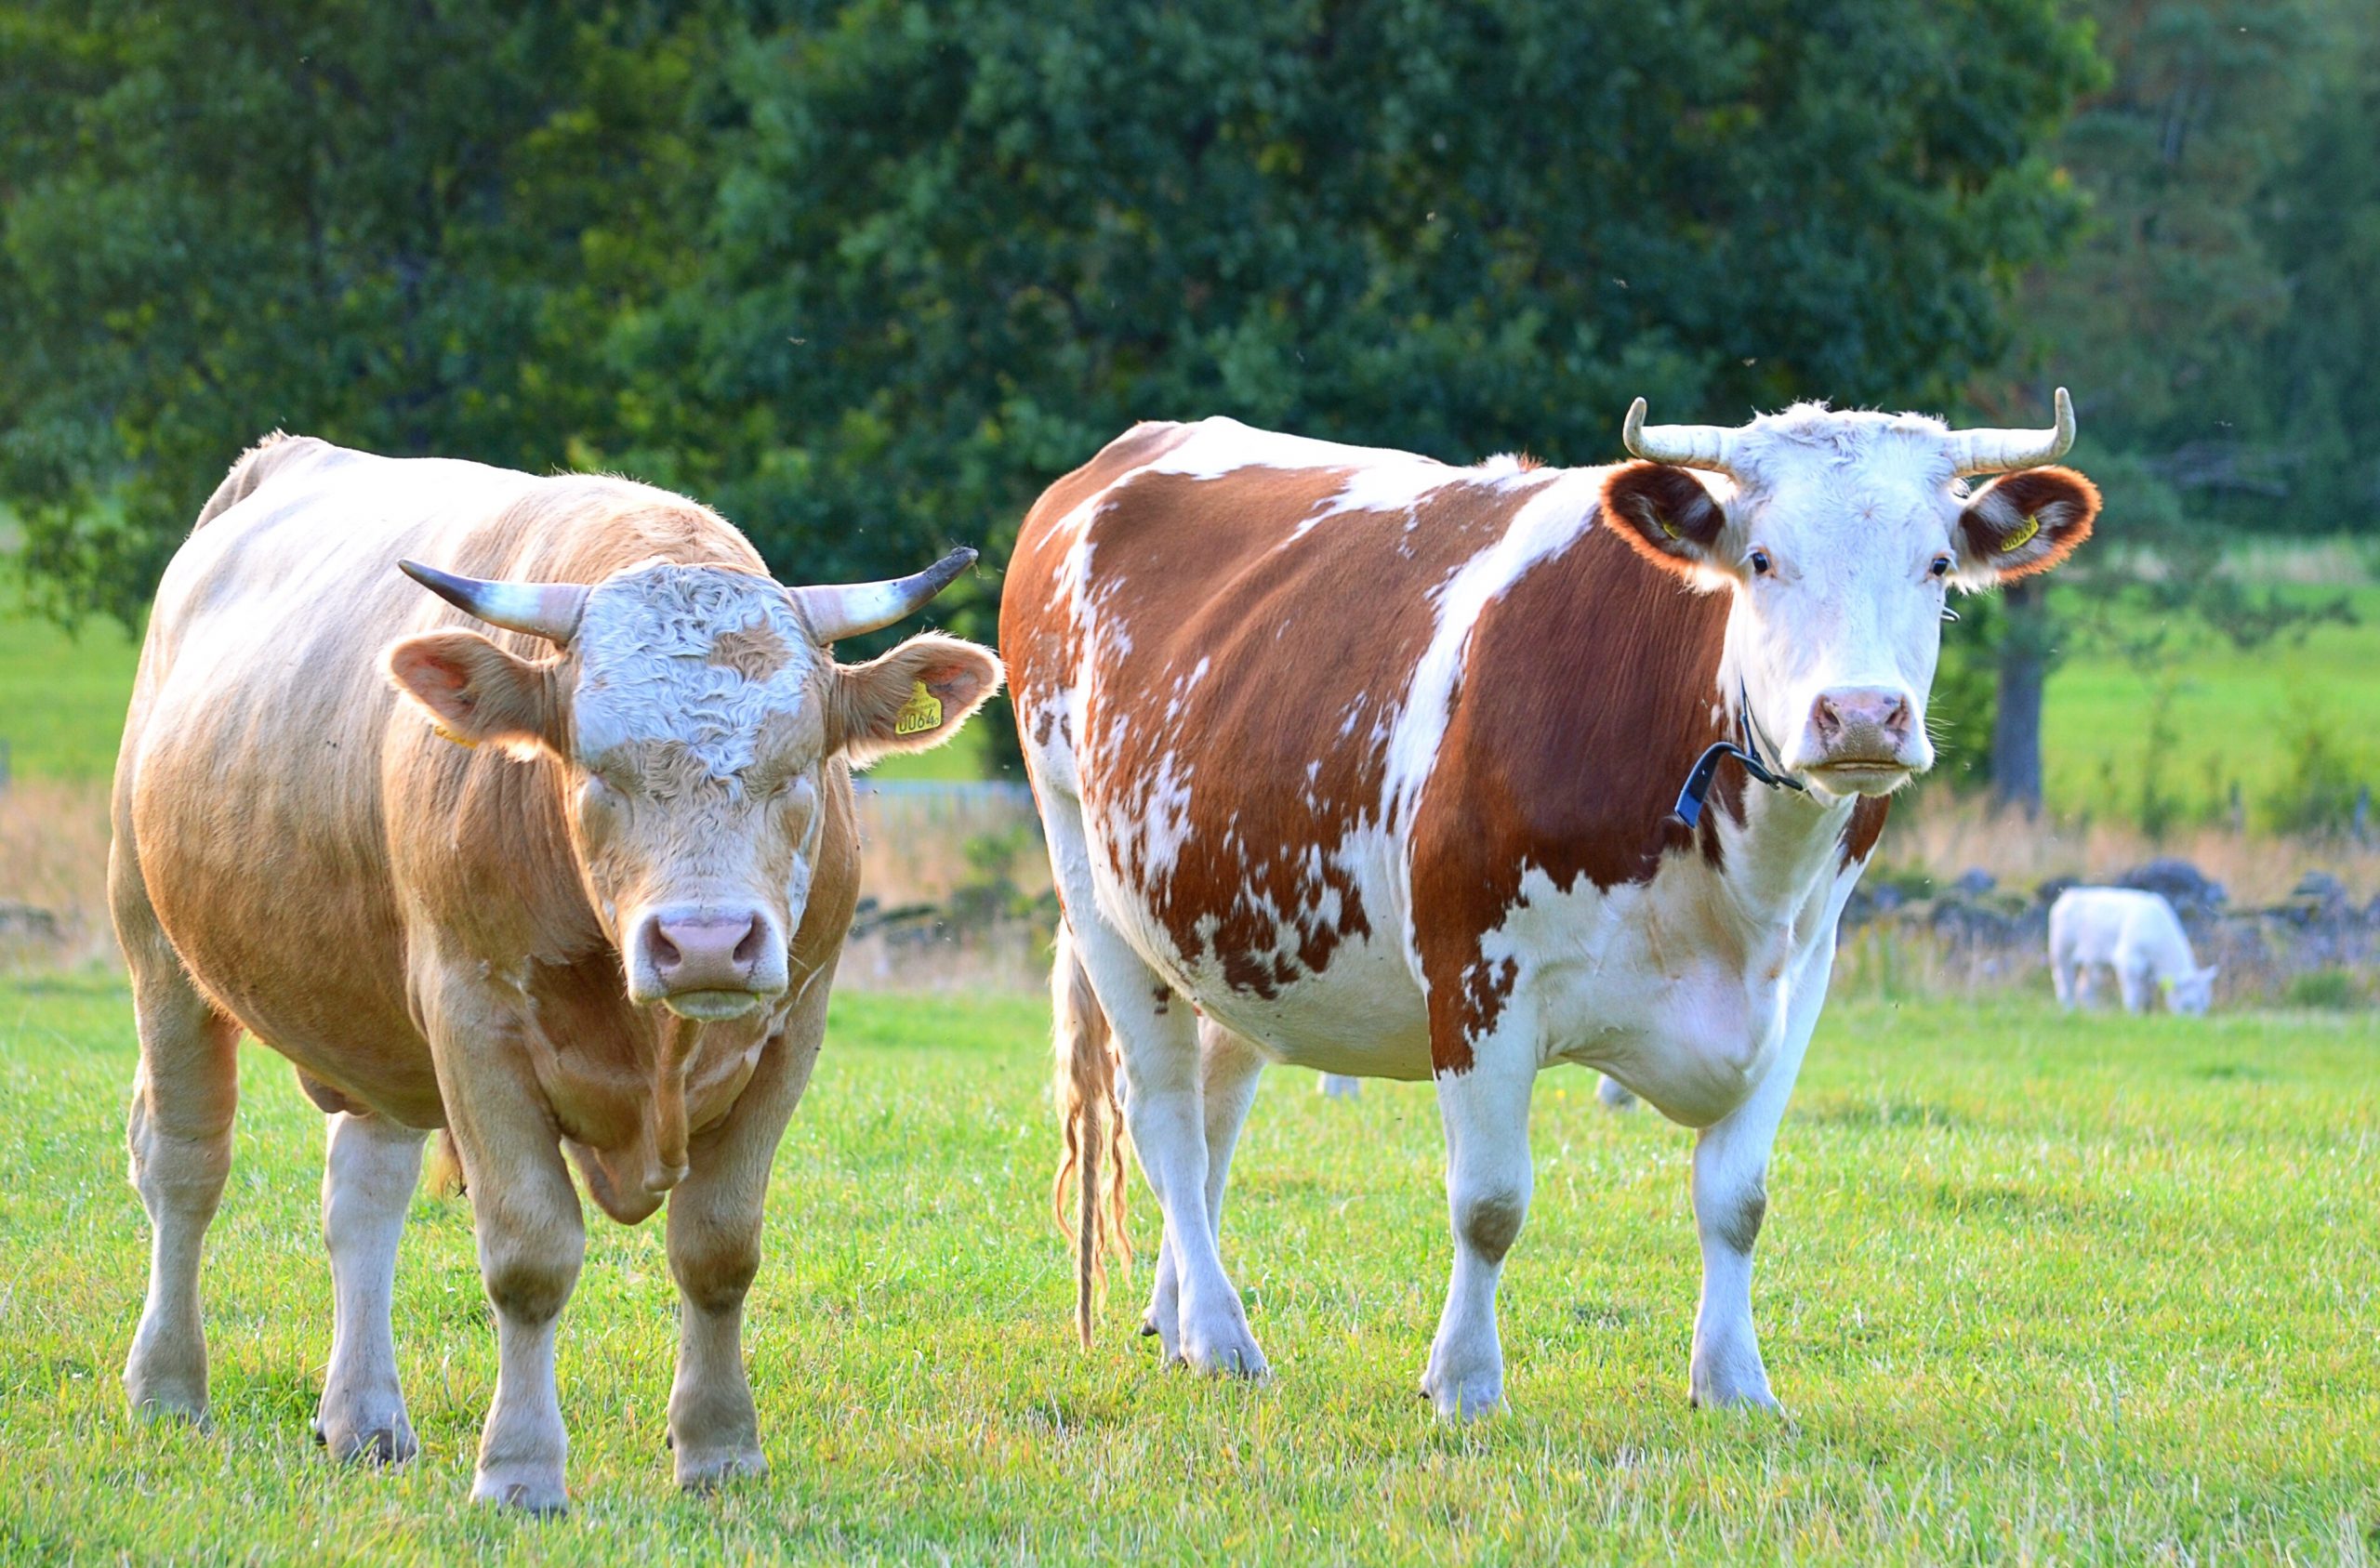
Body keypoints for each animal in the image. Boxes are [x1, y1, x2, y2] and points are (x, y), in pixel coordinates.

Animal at [112, 435, 999, 1513]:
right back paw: (167, 1387)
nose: (707, 942)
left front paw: (720, 1449)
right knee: (183, 1168)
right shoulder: (471, 1022)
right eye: (594, 770)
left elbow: (719, 1248)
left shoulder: (796, 1022)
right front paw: (521, 1469)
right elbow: (530, 1255)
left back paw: (364, 1418)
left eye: (795, 768)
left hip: (372, 1028)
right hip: (159, 950)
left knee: (361, 1196)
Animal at [1004, 389, 2104, 1408]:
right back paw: (1223, 1335)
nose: (1865, 714)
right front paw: (1463, 1381)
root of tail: (1110, 463)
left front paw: (1734, 1382)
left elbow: (1737, 1200)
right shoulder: (1475, 972)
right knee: (1164, 1121)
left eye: (1937, 565)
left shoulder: (1799, 980)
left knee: (1213, 1117)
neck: (1731, 892)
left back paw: (1179, 1316)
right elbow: (1489, 1202)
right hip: (1092, 884)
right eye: (1760, 559)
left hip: (1230, 931)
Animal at [2046, 889, 2208, 1013]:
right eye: (2188, 1005)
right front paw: (2133, 1016)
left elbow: (2146, 996)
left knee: (2085, 989)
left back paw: (2093, 1013)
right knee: (2066, 985)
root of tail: (2067, 896)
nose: (2195, 1024)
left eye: (2205, 1005)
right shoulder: (2128, 960)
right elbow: (2133, 994)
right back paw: (2068, 1011)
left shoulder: (2147, 971)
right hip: (2061, 952)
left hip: (2093, 963)